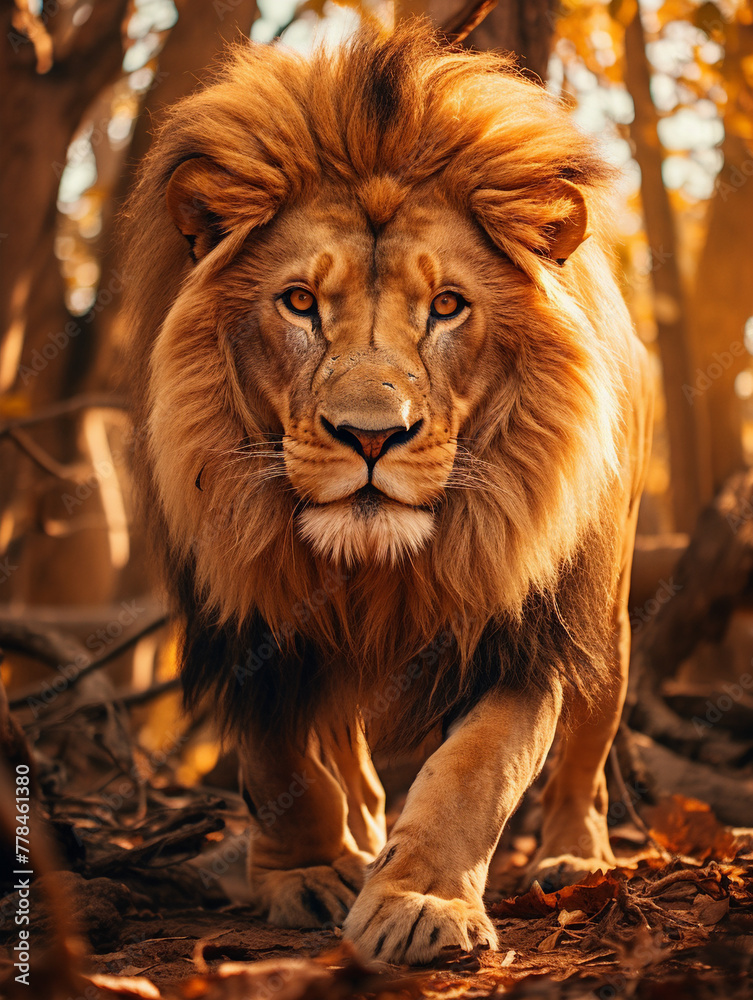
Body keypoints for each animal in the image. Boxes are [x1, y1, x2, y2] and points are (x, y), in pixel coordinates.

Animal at [123, 20, 653, 965]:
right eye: (299, 301)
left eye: (446, 306)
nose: (371, 435)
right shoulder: (248, 604)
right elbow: (280, 760)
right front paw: (306, 872)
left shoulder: (517, 626)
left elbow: (477, 769)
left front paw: (420, 902)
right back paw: (360, 835)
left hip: (607, 609)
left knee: (586, 754)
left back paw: (572, 857)